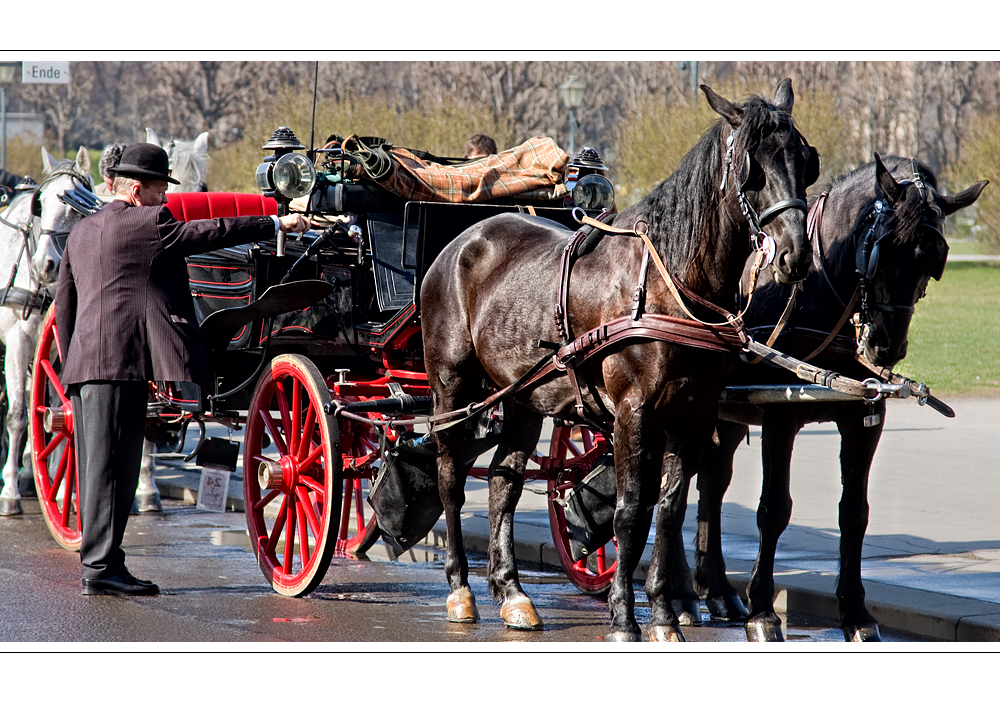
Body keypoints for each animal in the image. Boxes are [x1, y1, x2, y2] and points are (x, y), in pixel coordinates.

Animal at [418, 78, 816, 644]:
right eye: (750, 167)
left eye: (805, 160)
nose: (795, 255)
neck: (672, 282)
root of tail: (463, 242)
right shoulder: (634, 410)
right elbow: (629, 513)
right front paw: (626, 617)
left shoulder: (693, 413)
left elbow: (669, 509)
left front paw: (664, 615)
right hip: (451, 385)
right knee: (451, 474)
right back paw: (460, 587)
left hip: (522, 395)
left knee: (503, 480)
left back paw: (512, 591)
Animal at [688, 154, 984, 644]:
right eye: (882, 250)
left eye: (935, 261)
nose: (884, 346)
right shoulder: (780, 415)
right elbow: (774, 508)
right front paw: (763, 610)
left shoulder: (864, 414)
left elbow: (854, 513)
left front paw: (856, 612)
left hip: (724, 416)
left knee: (711, 483)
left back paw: (714, 590)